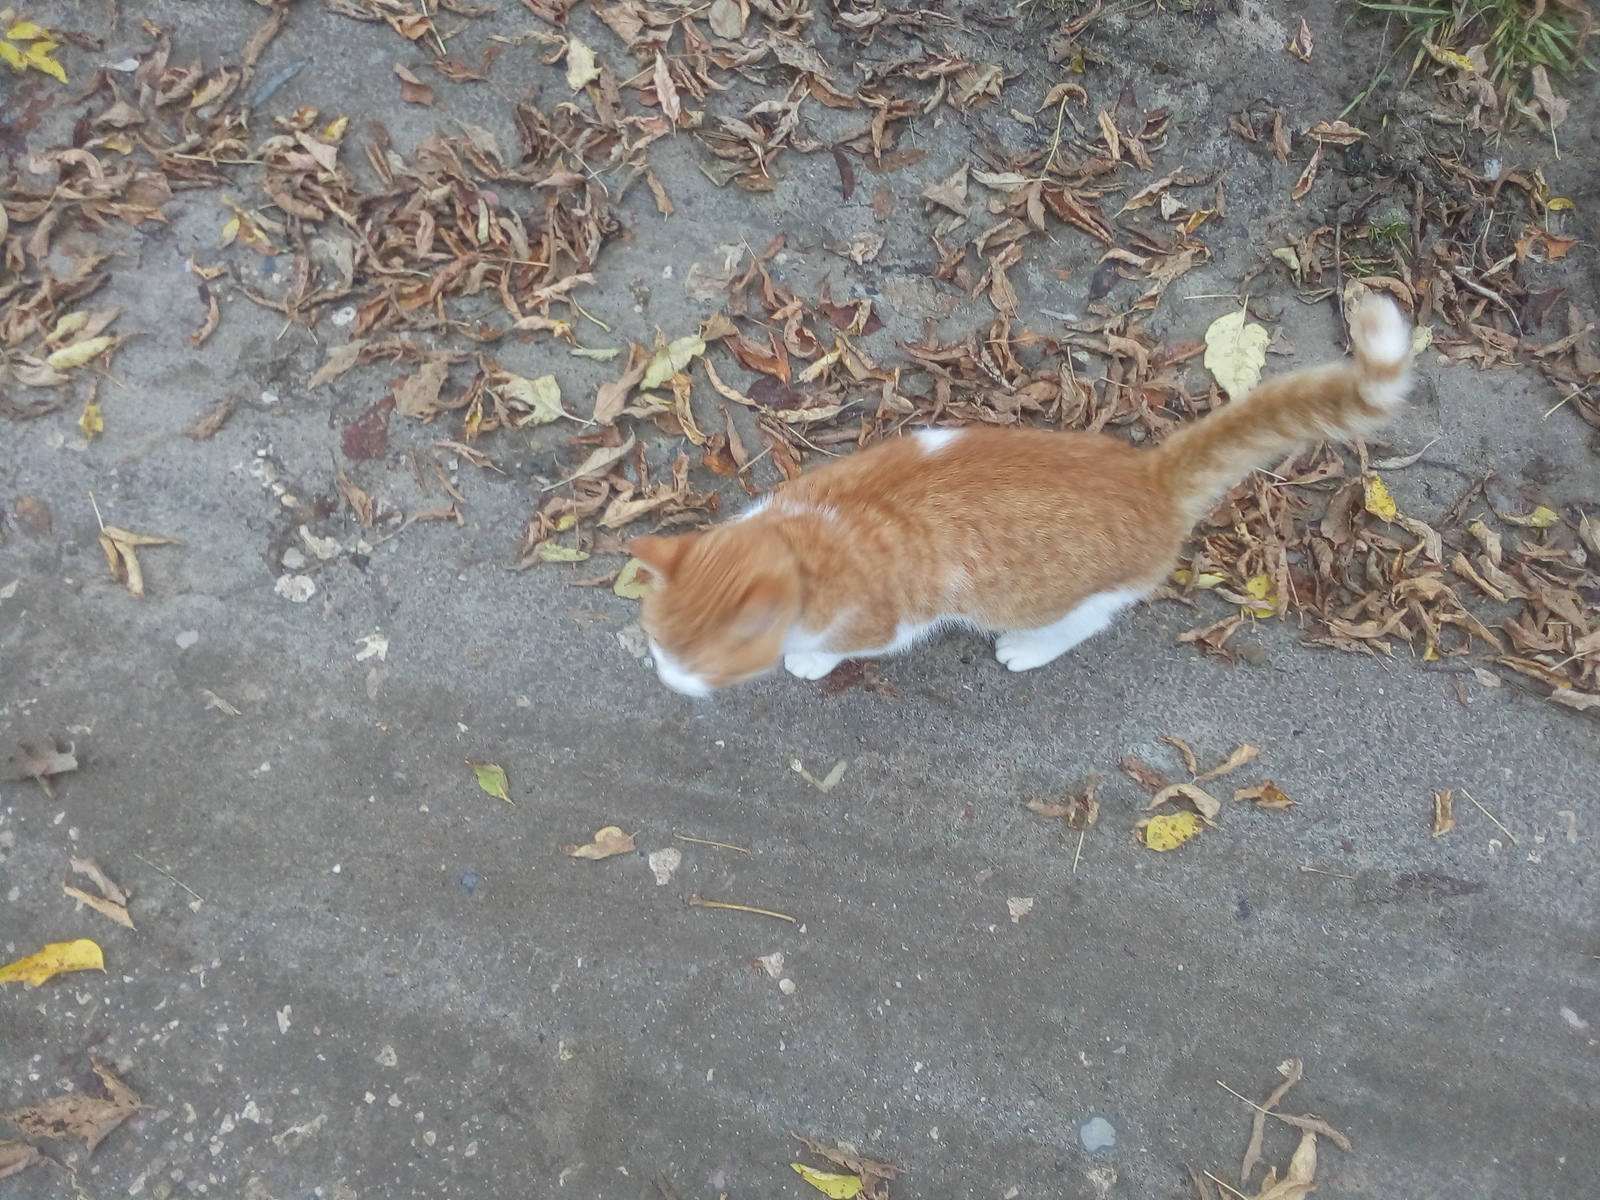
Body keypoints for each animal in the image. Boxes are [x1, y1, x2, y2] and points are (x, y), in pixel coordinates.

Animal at [630, 296, 1408, 700]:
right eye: (657, 644)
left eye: (698, 664)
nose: (665, 679)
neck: (800, 539)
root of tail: (1148, 474)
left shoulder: (884, 625)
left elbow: (849, 646)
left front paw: (810, 661)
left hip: (1058, 598)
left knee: (1086, 622)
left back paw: (1027, 649)